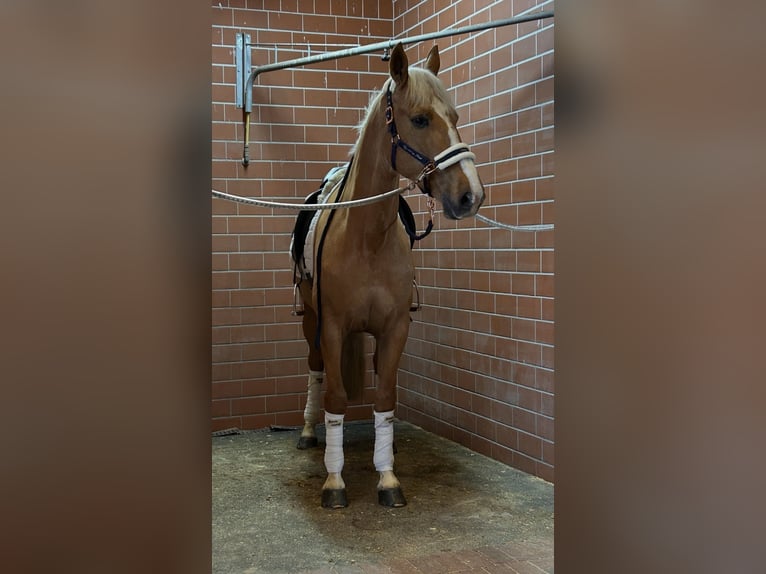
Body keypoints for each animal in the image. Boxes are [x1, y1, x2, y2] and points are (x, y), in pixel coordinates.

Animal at [290, 43, 484, 509]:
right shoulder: (332, 327)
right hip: (310, 324)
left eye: (455, 118)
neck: (367, 237)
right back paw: (308, 432)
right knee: (316, 371)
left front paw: (388, 476)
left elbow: (386, 394)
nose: (471, 195)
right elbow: (336, 396)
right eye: (420, 119)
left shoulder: (396, 326)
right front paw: (335, 481)